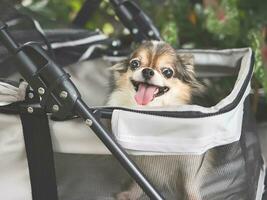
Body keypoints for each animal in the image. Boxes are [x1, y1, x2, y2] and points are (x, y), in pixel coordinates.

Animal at [107, 41, 205, 200]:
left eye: (168, 72)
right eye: (134, 64)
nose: (147, 71)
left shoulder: (191, 161)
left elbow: (189, 183)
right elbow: (140, 177)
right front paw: (132, 193)